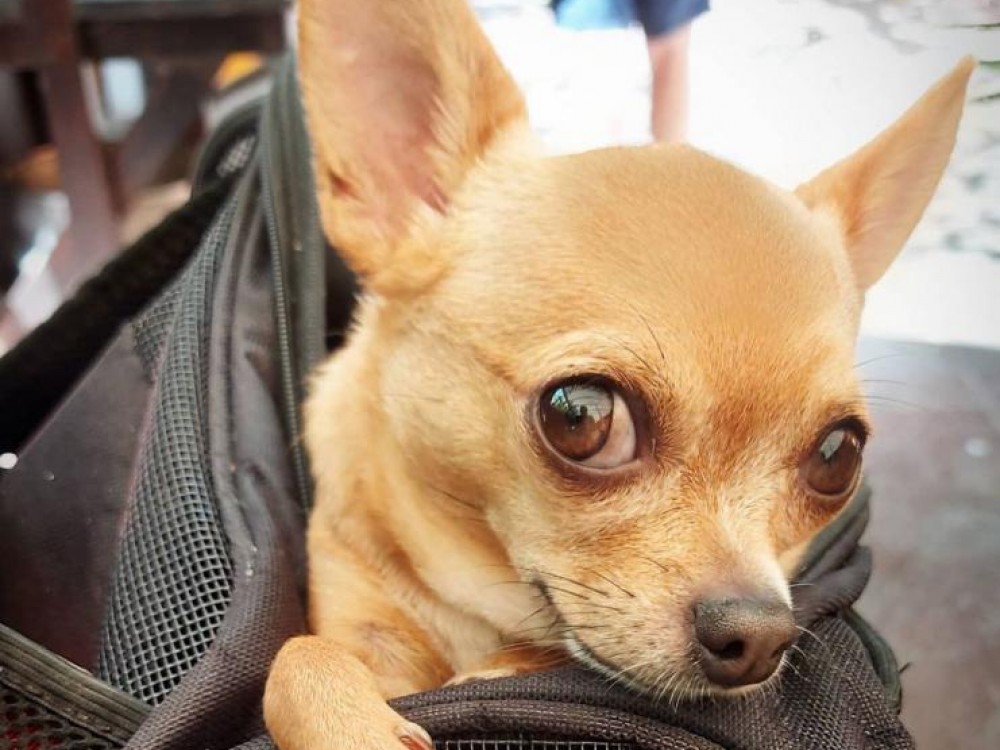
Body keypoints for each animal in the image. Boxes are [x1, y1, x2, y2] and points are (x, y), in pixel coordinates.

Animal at [263, 1, 974, 747]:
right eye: (580, 416)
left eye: (838, 456)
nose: (759, 636)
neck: (476, 607)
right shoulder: (357, 614)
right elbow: (300, 654)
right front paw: (347, 724)